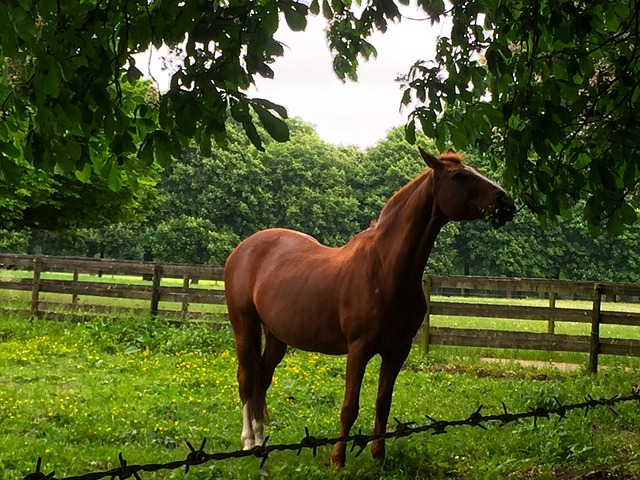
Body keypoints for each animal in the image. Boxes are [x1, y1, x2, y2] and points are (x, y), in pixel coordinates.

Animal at [223, 147, 515, 466]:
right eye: (458, 176)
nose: (506, 201)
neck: (385, 269)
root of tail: (243, 249)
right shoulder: (359, 349)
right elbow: (349, 406)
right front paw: (338, 459)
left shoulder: (397, 351)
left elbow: (383, 403)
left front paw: (379, 456)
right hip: (244, 326)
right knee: (246, 380)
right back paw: (249, 442)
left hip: (277, 336)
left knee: (262, 380)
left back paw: (262, 442)